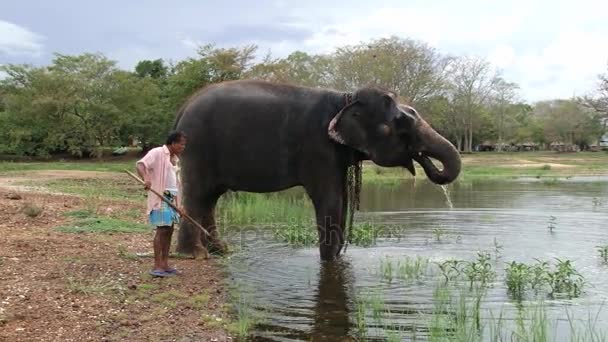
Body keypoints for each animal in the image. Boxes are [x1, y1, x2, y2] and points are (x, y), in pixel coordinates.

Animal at [172, 80, 460, 260]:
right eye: (401, 125)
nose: (424, 160)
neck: (345, 98)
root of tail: (183, 107)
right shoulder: (318, 148)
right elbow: (330, 200)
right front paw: (329, 261)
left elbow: (342, 200)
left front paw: (337, 257)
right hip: (197, 147)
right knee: (198, 195)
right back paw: (196, 255)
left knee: (210, 198)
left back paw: (221, 250)